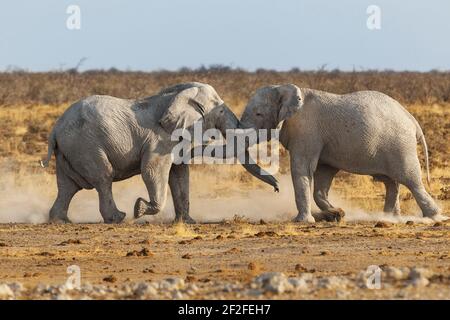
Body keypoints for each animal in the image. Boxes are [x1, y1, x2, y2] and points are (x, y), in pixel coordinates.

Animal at [40, 81, 278, 224]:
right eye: (219, 111)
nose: (277, 187)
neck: (178, 95)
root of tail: (55, 129)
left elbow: (179, 174)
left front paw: (186, 222)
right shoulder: (160, 139)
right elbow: (153, 170)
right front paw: (140, 209)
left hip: (70, 150)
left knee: (68, 185)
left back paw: (60, 221)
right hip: (85, 145)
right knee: (103, 178)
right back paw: (119, 218)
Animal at [241, 84, 442, 221]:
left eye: (258, 114)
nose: (276, 188)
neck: (284, 88)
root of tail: (411, 119)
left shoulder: (306, 131)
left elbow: (302, 169)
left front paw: (302, 221)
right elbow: (322, 174)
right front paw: (336, 213)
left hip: (400, 145)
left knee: (411, 180)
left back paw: (434, 217)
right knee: (391, 182)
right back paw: (389, 218)